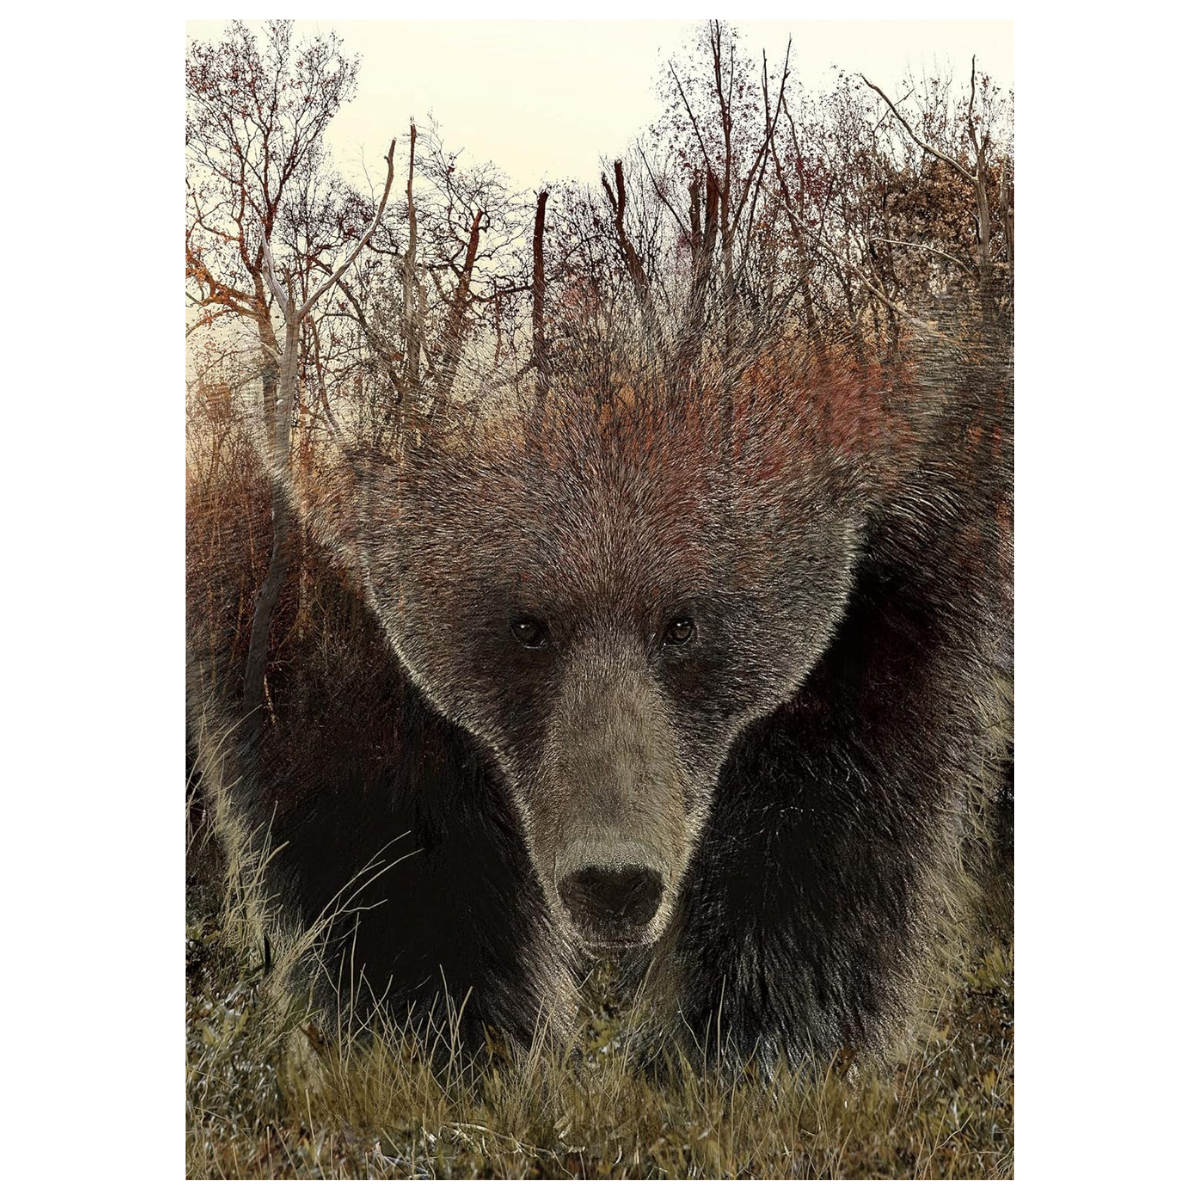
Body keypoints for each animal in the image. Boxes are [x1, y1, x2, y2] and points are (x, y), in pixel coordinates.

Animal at [187, 306, 1012, 1067]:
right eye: (527, 626)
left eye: (682, 625)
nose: (613, 879)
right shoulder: (278, 539)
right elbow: (367, 809)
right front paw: (447, 1036)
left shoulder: (926, 502)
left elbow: (839, 796)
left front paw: (747, 1043)